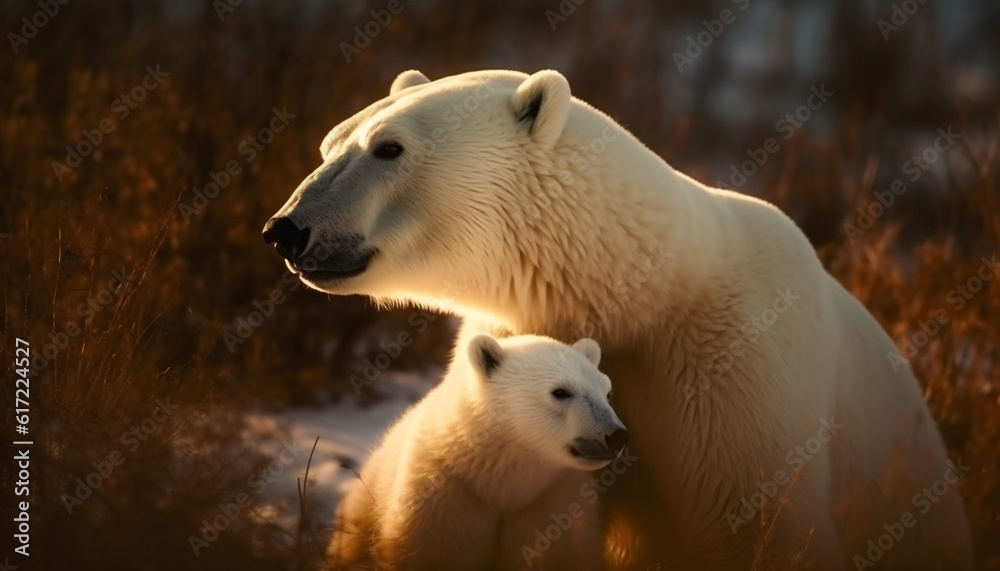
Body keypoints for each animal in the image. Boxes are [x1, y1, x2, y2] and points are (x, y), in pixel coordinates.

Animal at [262, 69, 972, 568]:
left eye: (389, 147)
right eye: (330, 141)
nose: (285, 230)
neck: (646, 290)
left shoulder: (739, 369)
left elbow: (753, 521)